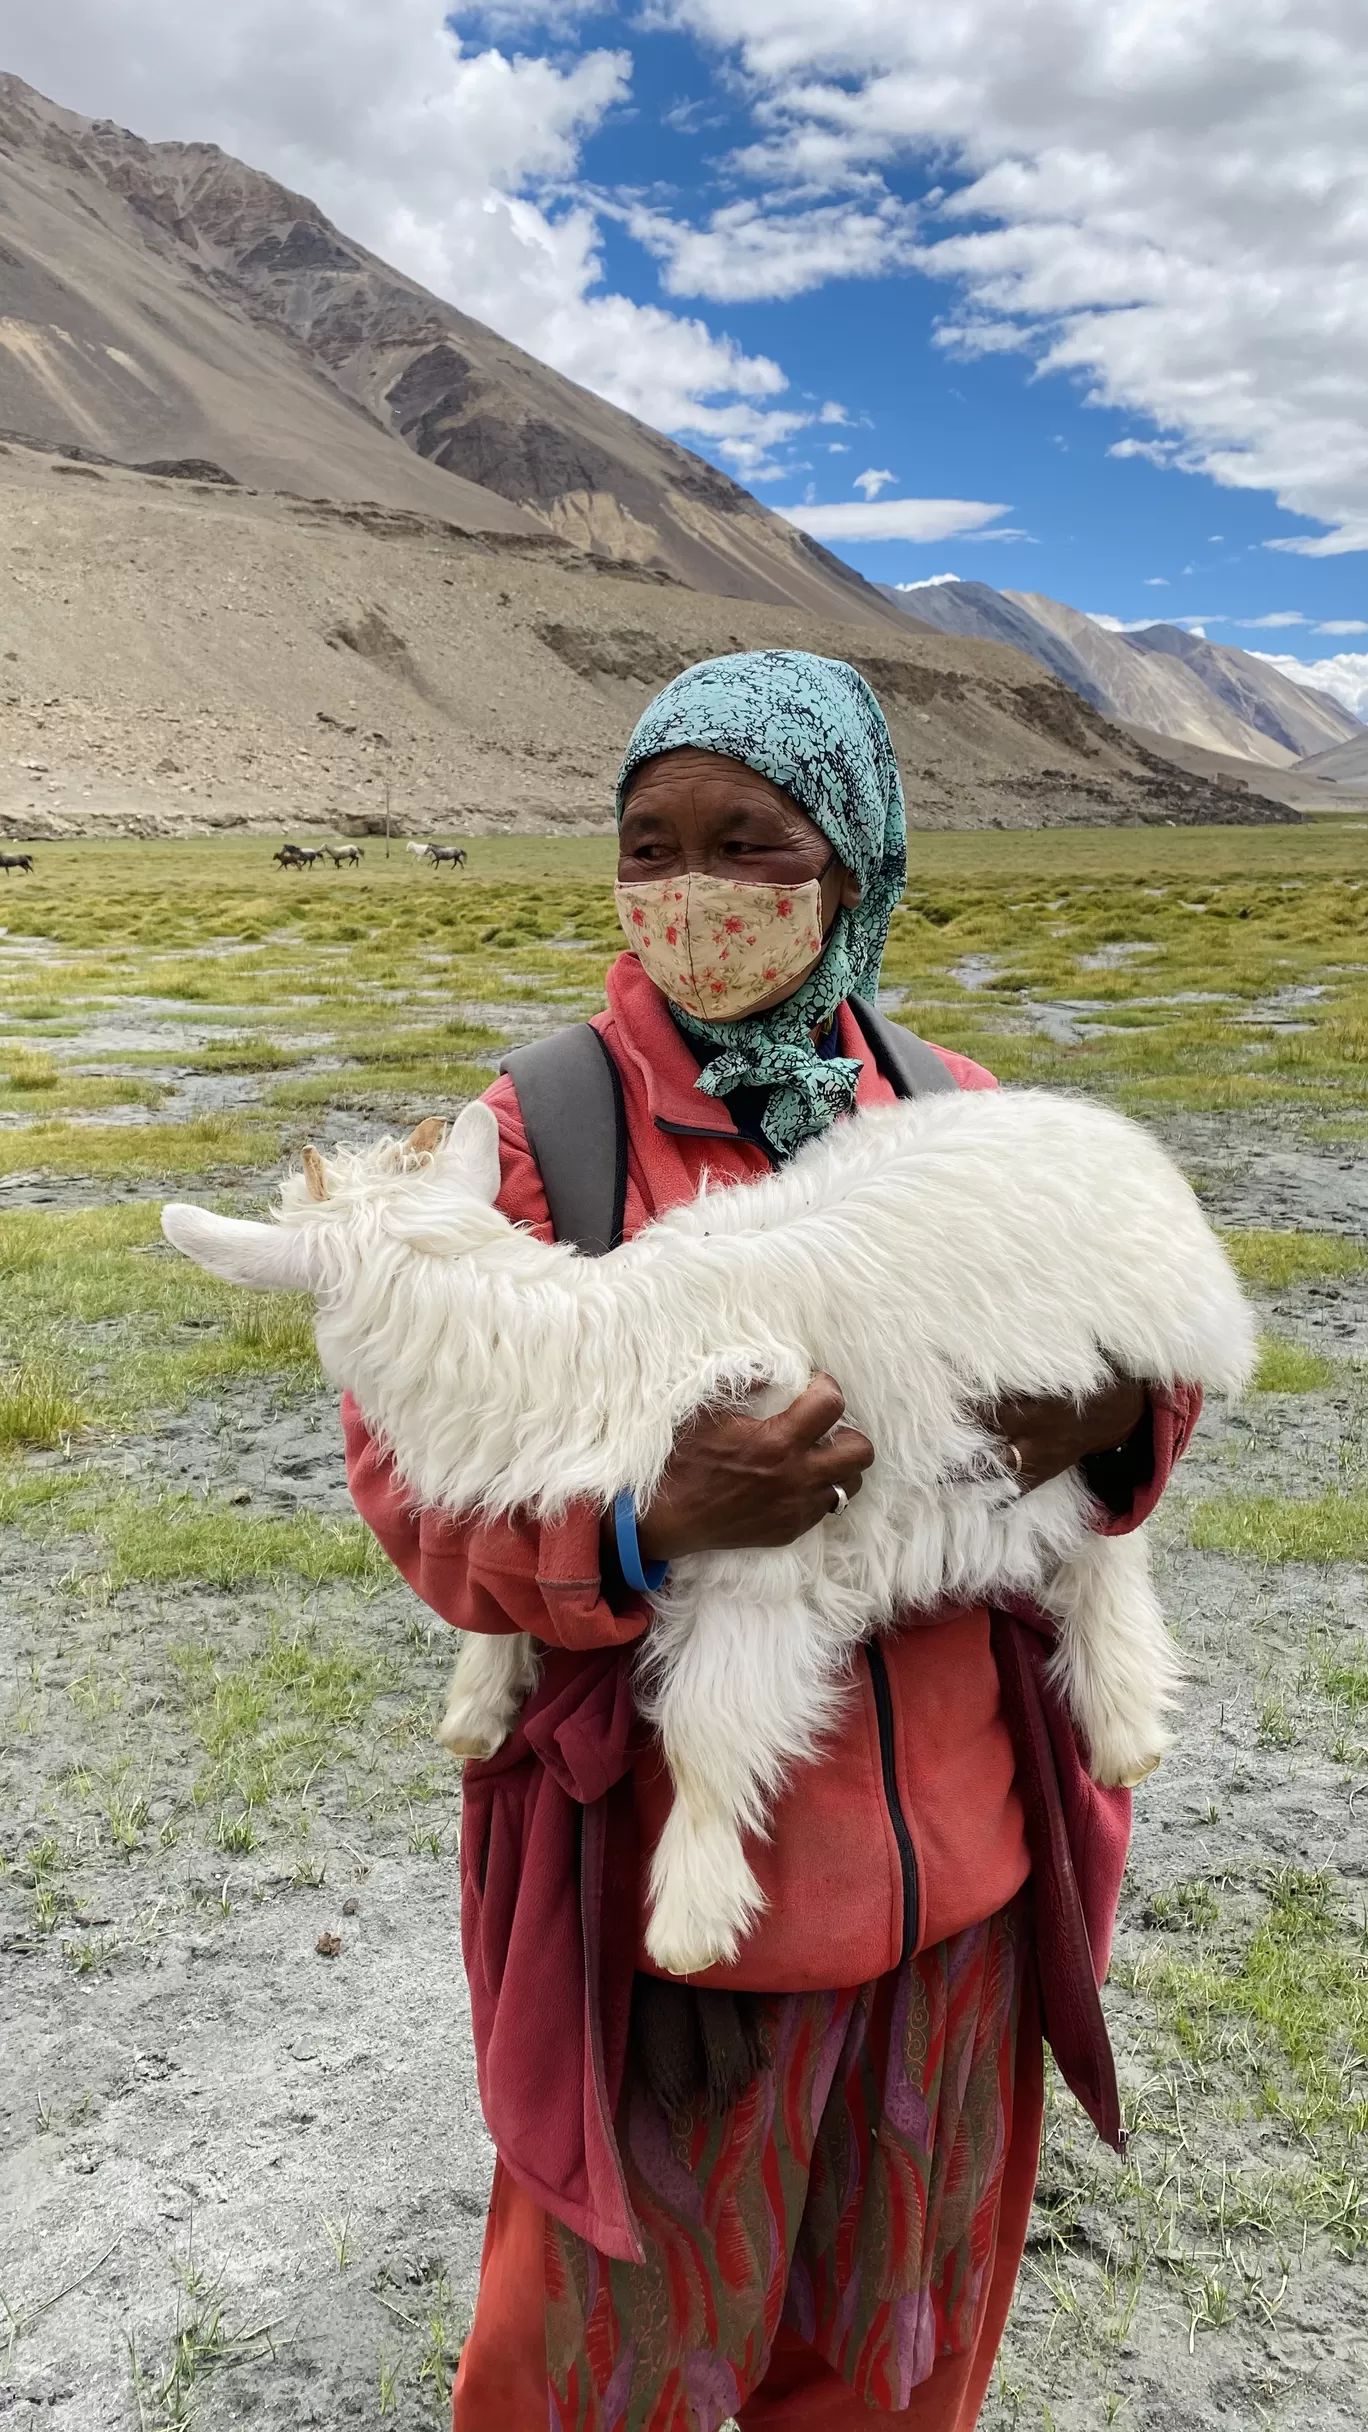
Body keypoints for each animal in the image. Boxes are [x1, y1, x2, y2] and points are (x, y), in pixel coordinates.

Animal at [165, 1099, 1256, 1974]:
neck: (587, 1350)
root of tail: (1107, 1132)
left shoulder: (763, 1558)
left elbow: (702, 1734)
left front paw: (690, 1917)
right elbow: (510, 1592)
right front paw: (478, 1702)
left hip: (1107, 1394)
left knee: (1109, 1546)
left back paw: (1123, 1727)